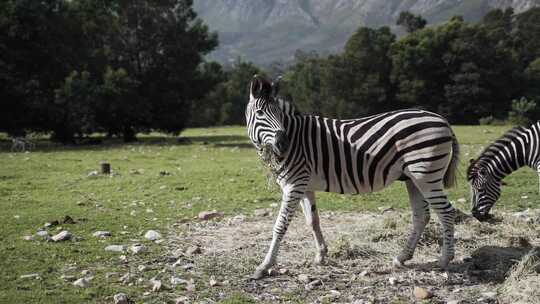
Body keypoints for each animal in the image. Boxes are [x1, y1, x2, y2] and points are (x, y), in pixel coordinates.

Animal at [245, 75, 460, 280]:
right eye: (260, 113)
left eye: (279, 115)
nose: (283, 144)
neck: (296, 138)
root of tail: (443, 121)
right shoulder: (305, 185)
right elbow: (313, 221)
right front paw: (321, 255)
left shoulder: (294, 184)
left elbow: (280, 226)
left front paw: (264, 266)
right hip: (413, 179)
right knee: (421, 216)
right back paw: (402, 257)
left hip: (426, 175)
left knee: (447, 212)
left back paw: (444, 260)